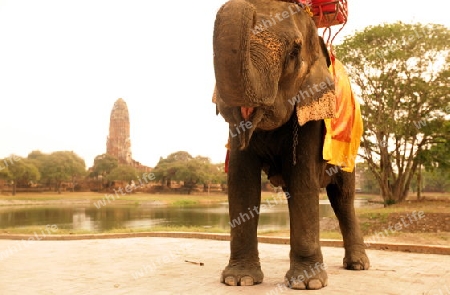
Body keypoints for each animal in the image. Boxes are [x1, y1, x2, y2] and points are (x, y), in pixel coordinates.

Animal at [212, 0, 370, 290]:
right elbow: (241, 181)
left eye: (295, 52)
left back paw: (357, 265)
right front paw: (239, 280)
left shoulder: (312, 115)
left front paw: (308, 284)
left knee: (343, 197)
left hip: (349, 153)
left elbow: (303, 179)